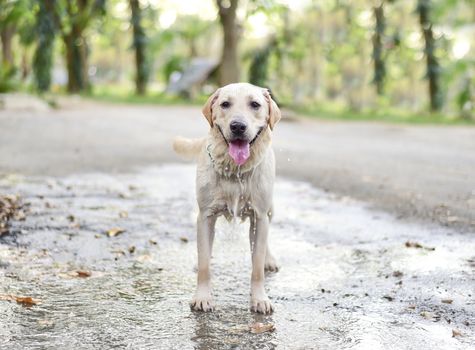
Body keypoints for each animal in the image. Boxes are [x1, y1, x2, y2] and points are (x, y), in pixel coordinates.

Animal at [173, 82, 280, 314]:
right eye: (225, 104)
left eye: (255, 104)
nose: (238, 126)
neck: (236, 170)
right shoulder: (205, 216)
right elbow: (204, 264)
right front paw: (202, 297)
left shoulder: (259, 216)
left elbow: (256, 266)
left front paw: (259, 298)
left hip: (270, 210)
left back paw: (269, 259)